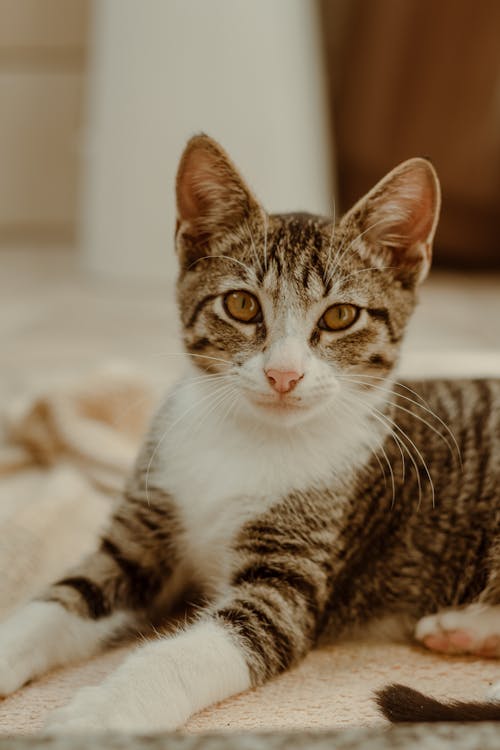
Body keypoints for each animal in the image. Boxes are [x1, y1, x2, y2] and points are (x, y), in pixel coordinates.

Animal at [0, 135, 500, 728]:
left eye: (340, 316)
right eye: (240, 304)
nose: (283, 374)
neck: (247, 439)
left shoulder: (288, 586)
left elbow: (187, 655)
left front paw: (101, 714)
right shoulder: (138, 541)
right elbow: (60, 601)